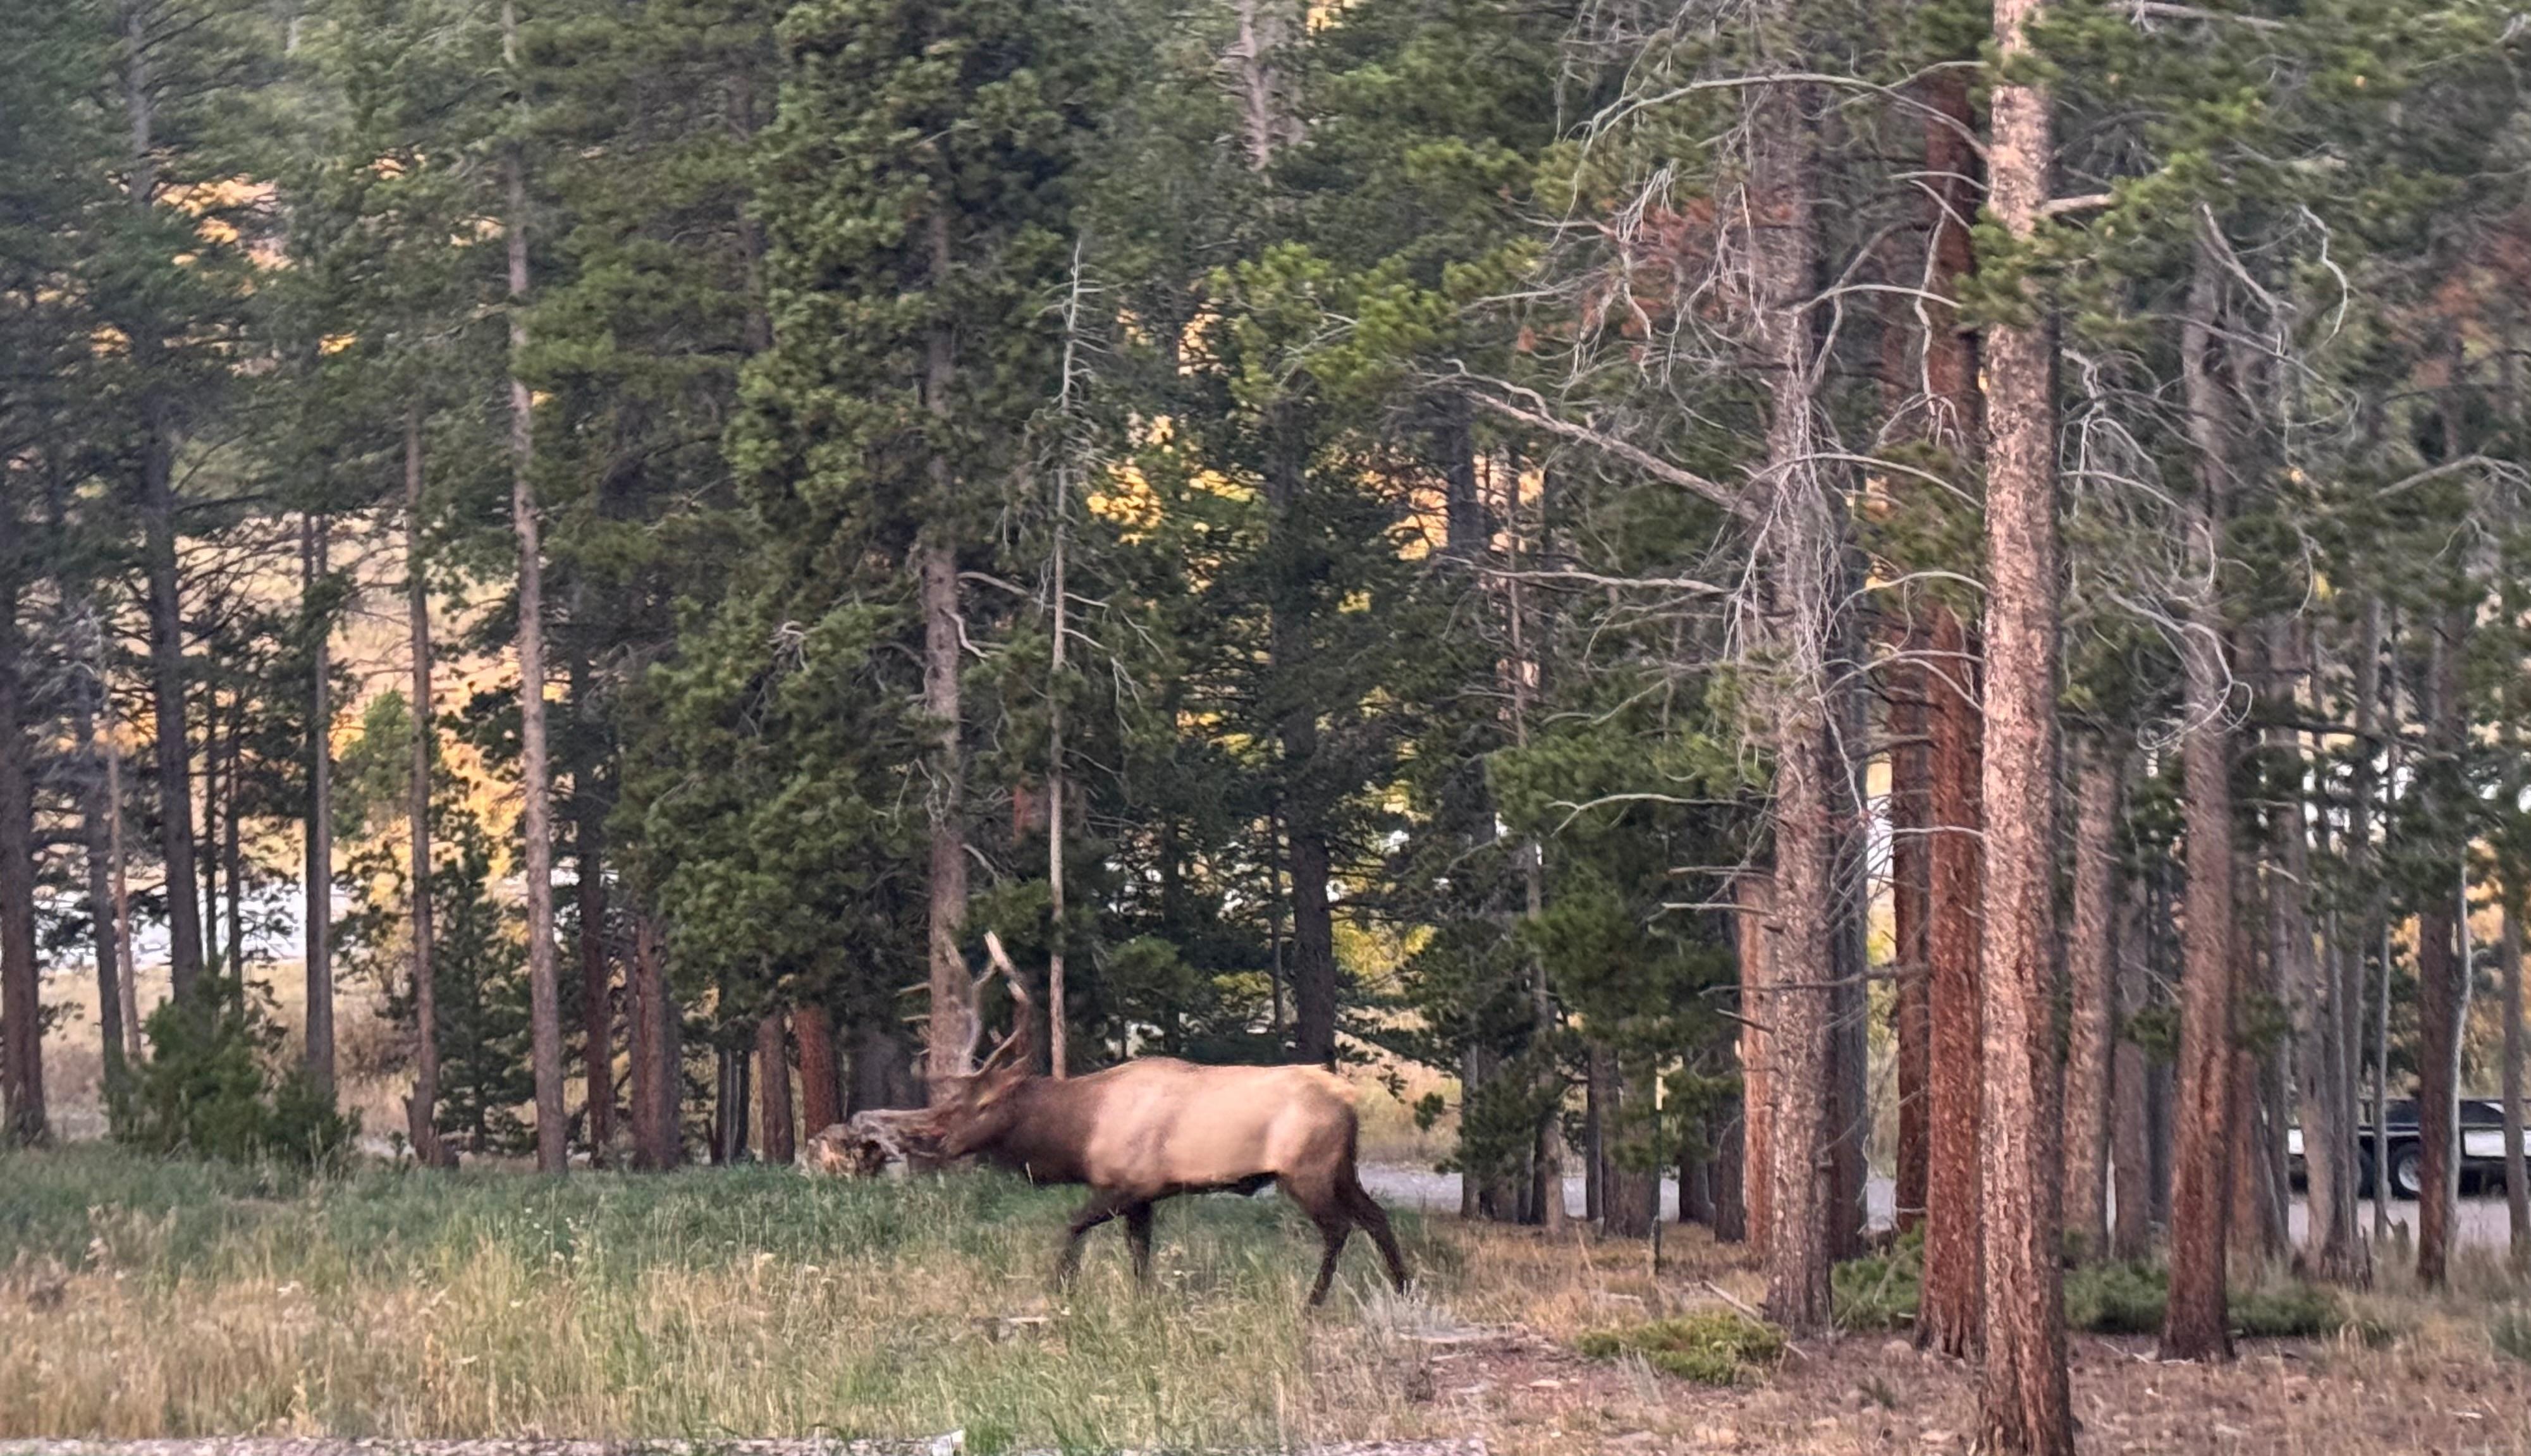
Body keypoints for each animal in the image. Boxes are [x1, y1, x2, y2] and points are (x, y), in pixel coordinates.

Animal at [913, 934, 1410, 1306]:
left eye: (982, 1104)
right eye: (958, 1100)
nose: (940, 1141)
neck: (1080, 1131)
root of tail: (1349, 1100)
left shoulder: (1130, 1183)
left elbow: (1074, 1225)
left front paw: (1062, 1289)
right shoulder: (1144, 1197)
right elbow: (1140, 1255)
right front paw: (1141, 1301)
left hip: (1306, 1169)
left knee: (1340, 1227)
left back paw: (1313, 1303)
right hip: (1343, 1167)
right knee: (1377, 1216)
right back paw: (1403, 1287)